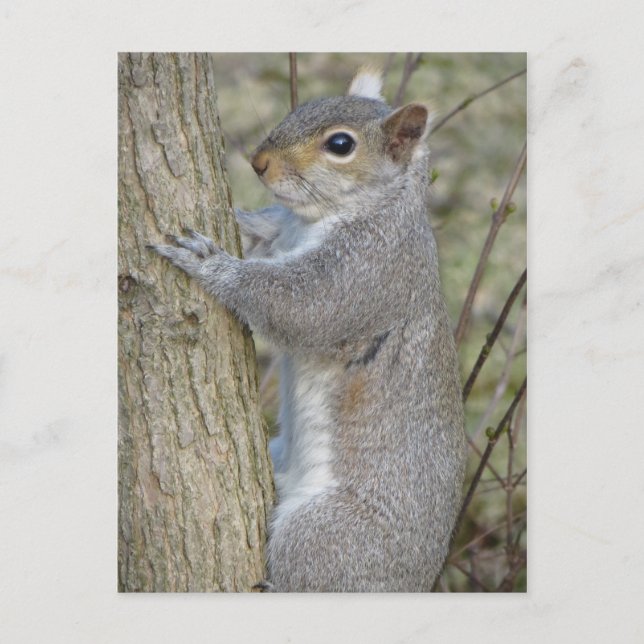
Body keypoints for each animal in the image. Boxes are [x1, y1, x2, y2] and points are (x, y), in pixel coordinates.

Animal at [151, 68, 467, 592]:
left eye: (341, 144)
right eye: (304, 107)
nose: (258, 163)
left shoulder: (365, 273)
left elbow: (298, 307)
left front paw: (210, 264)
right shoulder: (280, 233)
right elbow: (258, 232)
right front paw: (234, 218)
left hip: (327, 534)